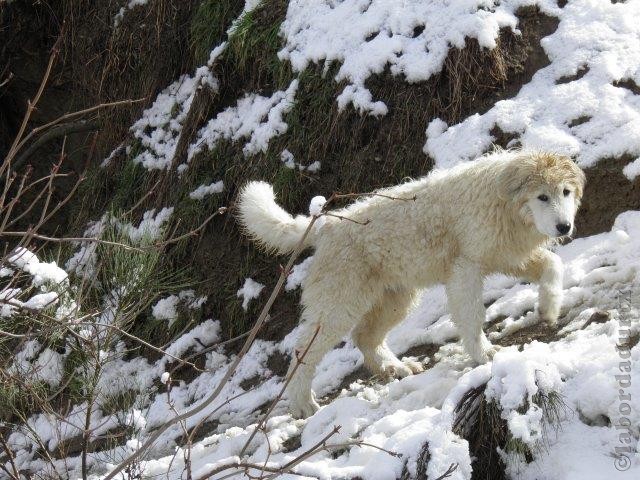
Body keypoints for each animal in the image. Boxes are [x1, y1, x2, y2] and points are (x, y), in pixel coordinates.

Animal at [236, 149, 584, 416]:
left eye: (565, 193)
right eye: (542, 196)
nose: (564, 227)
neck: (503, 202)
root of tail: (327, 226)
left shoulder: (508, 256)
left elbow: (552, 266)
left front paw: (549, 309)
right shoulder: (466, 269)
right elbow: (472, 316)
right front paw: (484, 354)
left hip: (396, 299)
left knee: (365, 336)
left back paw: (395, 369)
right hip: (338, 305)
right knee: (303, 350)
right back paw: (303, 404)